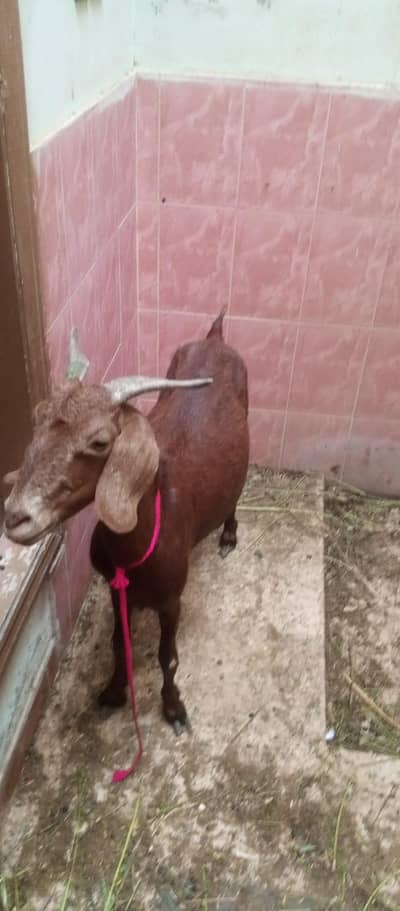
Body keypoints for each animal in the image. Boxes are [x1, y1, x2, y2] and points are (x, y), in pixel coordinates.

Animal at [4, 312, 249, 732]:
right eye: (37, 417)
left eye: (100, 442)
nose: (15, 516)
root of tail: (215, 337)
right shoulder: (115, 589)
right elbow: (120, 645)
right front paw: (114, 691)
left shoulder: (171, 599)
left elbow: (169, 657)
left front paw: (174, 709)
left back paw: (228, 536)